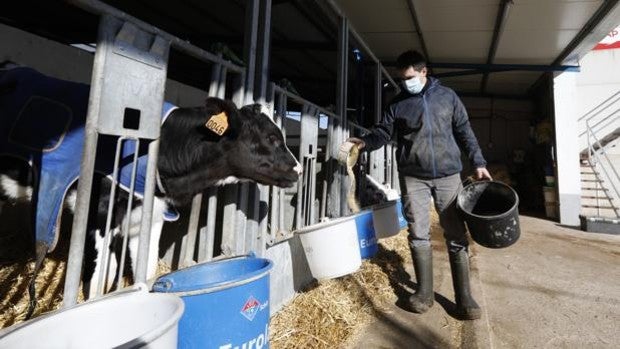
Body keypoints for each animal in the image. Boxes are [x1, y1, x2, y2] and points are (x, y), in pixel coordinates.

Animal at [0, 64, 300, 316]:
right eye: (272, 137)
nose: (298, 170)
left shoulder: (150, 216)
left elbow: (146, 270)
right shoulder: (99, 217)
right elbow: (98, 283)